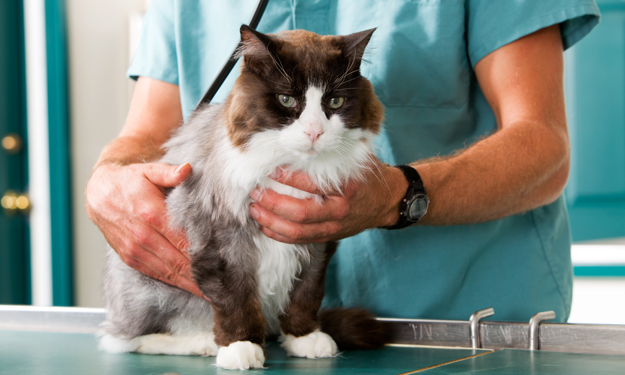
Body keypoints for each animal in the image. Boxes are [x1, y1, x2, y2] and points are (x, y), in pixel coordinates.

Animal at [97, 25, 386, 372]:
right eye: (286, 99)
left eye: (335, 101)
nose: (314, 132)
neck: (291, 166)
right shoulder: (222, 240)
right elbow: (236, 299)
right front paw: (241, 347)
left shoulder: (317, 240)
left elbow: (306, 293)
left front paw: (304, 337)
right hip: (150, 291)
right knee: (125, 339)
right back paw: (203, 342)